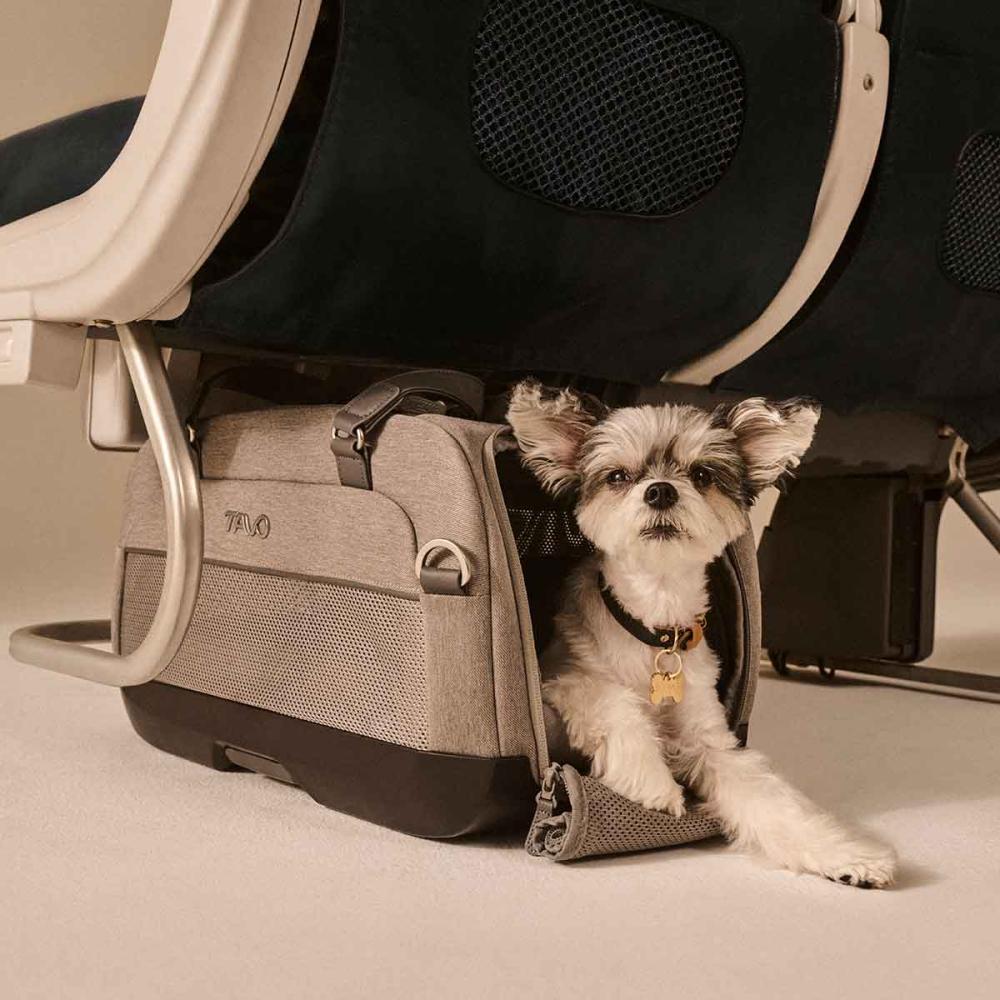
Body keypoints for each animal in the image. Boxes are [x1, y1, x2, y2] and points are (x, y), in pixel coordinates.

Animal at [508, 382, 900, 892]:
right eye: (618, 476)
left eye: (701, 473)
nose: (660, 490)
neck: (653, 631)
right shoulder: (559, 678)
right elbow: (613, 700)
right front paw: (652, 780)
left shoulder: (710, 740)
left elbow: (774, 801)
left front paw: (846, 854)